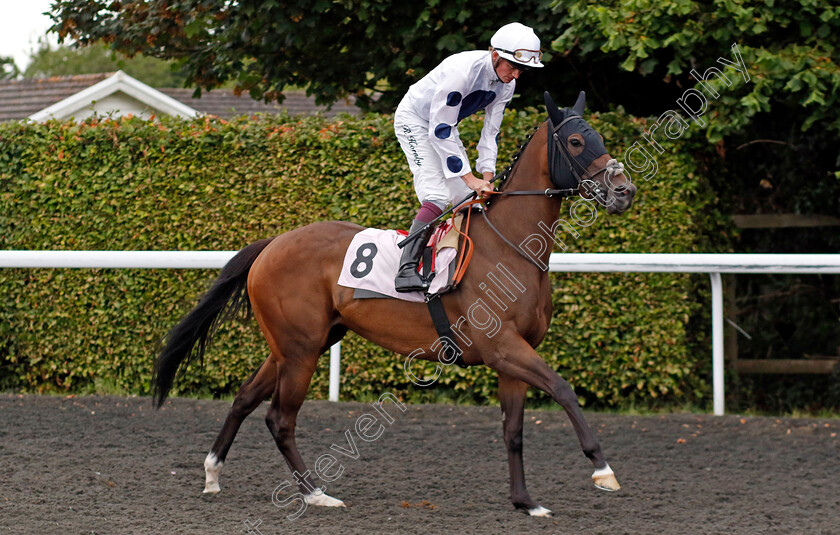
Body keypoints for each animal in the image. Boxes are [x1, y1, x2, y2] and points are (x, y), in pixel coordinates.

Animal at [153, 90, 636, 516]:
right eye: (577, 142)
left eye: (600, 137)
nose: (625, 190)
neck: (513, 247)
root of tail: (273, 244)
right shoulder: (504, 348)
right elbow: (563, 389)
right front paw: (603, 469)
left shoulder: (511, 358)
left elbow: (514, 431)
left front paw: (525, 502)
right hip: (300, 349)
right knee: (280, 418)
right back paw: (315, 494)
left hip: (298, 344)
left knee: (245, 398)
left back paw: (213, 473)